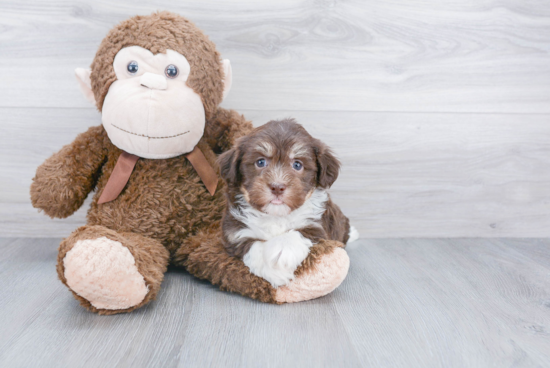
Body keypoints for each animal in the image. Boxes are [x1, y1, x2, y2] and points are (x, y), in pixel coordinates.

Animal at [218, 118, 360, 288]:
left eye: (297, 165)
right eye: (260, 162)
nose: (277, 187)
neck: (276, 215)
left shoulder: (318, 227)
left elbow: (299, 231)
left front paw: (282, 250)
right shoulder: (234, 233)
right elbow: (252, 246)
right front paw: (274, 272)